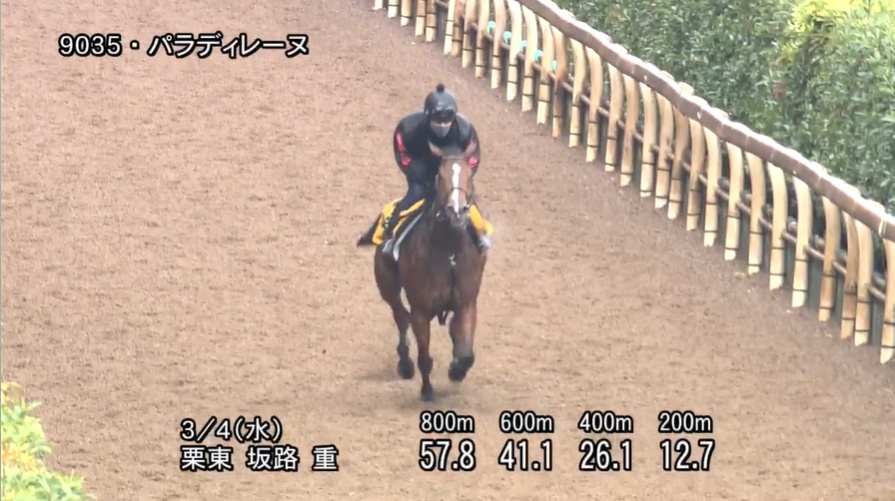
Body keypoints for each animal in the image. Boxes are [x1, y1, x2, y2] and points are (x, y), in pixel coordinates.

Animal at [372, 140, 487, 401]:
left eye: (470, 174)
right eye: (439, 176)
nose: (457, 211)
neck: (449, 251)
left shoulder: (467, 303)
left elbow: (466, 353)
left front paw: (456, 370)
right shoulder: (421, 311)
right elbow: (424, 356)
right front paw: (427, 391)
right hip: (387, 285)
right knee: (400, 316)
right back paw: (405, 364)